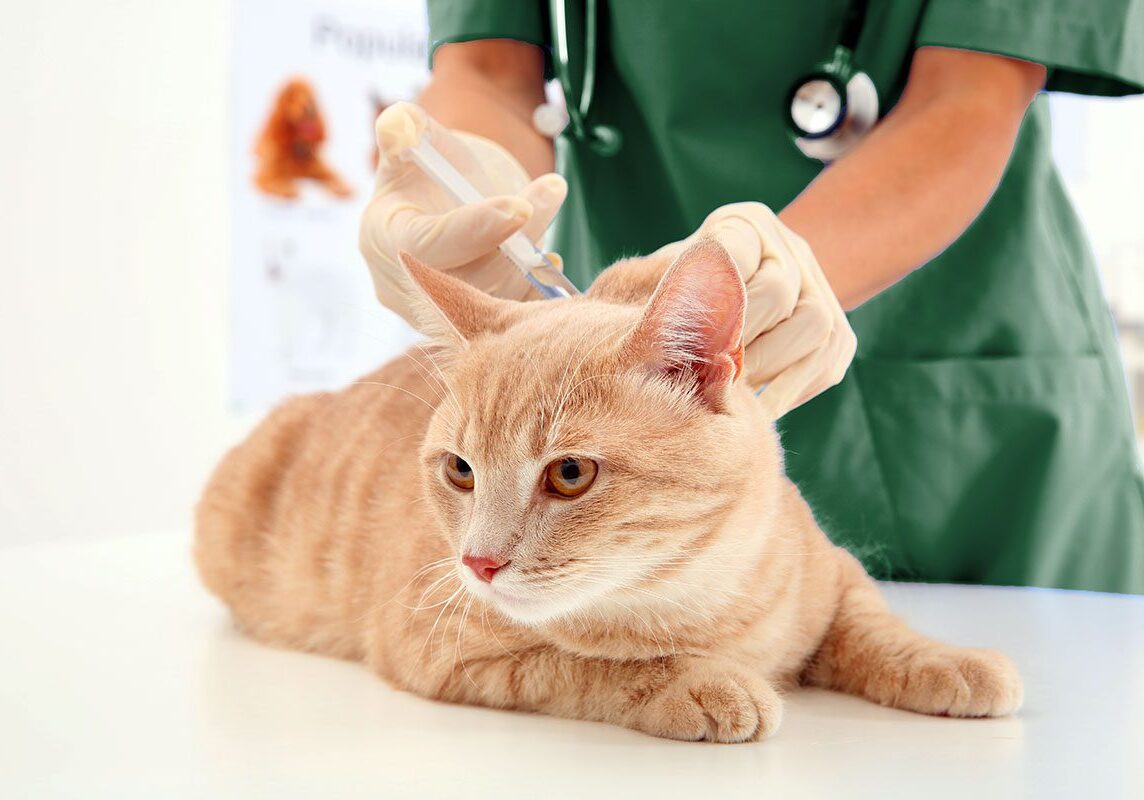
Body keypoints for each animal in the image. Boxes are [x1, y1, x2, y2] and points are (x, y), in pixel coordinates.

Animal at [194, 241, 1020, 741]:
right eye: (460, 470)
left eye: (569, 474)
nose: (477, 564)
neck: (705, 600)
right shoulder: (445, 653)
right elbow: (587, 667)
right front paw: (699, 683)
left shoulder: (835, 575)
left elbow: (877, 625)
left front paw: (950, 661)